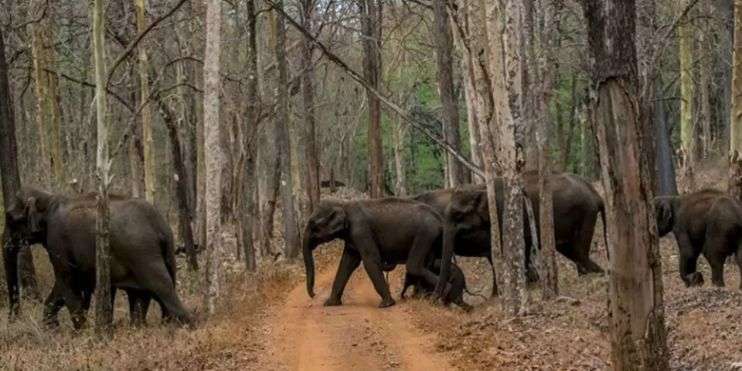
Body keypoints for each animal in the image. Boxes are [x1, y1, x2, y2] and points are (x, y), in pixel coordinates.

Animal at [5, 189, 192, 328]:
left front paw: (81, 333)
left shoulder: (57, 241)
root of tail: (160, 225)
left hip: (143, 254)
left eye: (10, 218)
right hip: (165, 254)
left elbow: (67, 282)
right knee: (147, 294)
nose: (13, 318)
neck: (48, 198)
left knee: (162, 289)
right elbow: (65, 286)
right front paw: (53, 329)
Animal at [304, 199, 448, 310]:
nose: (314, 294)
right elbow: (347, 263)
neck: (344, 205)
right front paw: (330, 304)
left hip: (425, 234)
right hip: (432, 239)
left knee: (414, 266)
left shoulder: (361, 231)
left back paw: (443, 292)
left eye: (313, 226)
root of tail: (438, 217)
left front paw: (387, 304)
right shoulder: (352, 238)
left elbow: (370, 261)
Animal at [416, 171, 608, 296]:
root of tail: (597, 194)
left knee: (580, 250)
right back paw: (596, 274)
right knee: (572, 251)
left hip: (585, 214)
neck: (481, 188)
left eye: (458, 215)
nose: (435, 299)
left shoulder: (504, 215)